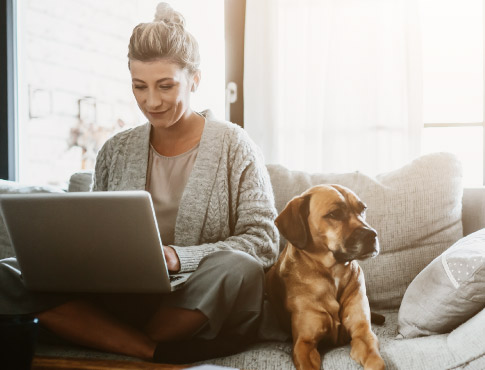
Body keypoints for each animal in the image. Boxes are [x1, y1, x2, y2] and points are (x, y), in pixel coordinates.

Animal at [266, 184, 384, 370]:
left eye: (362, 209)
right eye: (334, 214)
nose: (372, 235)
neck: (333, 273)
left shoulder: (363, 333)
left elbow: (376, 362)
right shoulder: (304, 344)